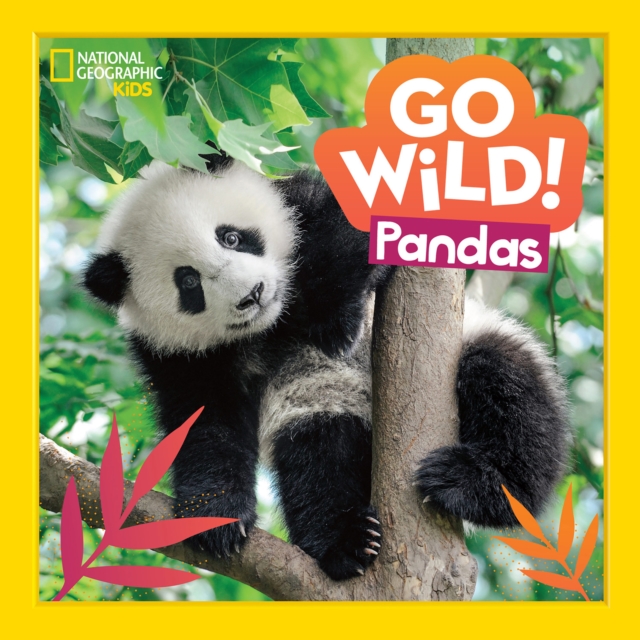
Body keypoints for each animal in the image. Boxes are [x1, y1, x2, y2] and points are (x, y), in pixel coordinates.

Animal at [82, 151, 571, 581]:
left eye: (231, 237)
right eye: (188, 282)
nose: (253, 295)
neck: (272, 325)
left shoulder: (302, 201)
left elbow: (348, 232)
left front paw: (333, 320)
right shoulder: (177, 354)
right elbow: (204, 423)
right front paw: (216, 517)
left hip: (478, 348)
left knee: (507, 389)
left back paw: (474, 484)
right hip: (323, 404)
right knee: (319, 456)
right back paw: (346, 542)